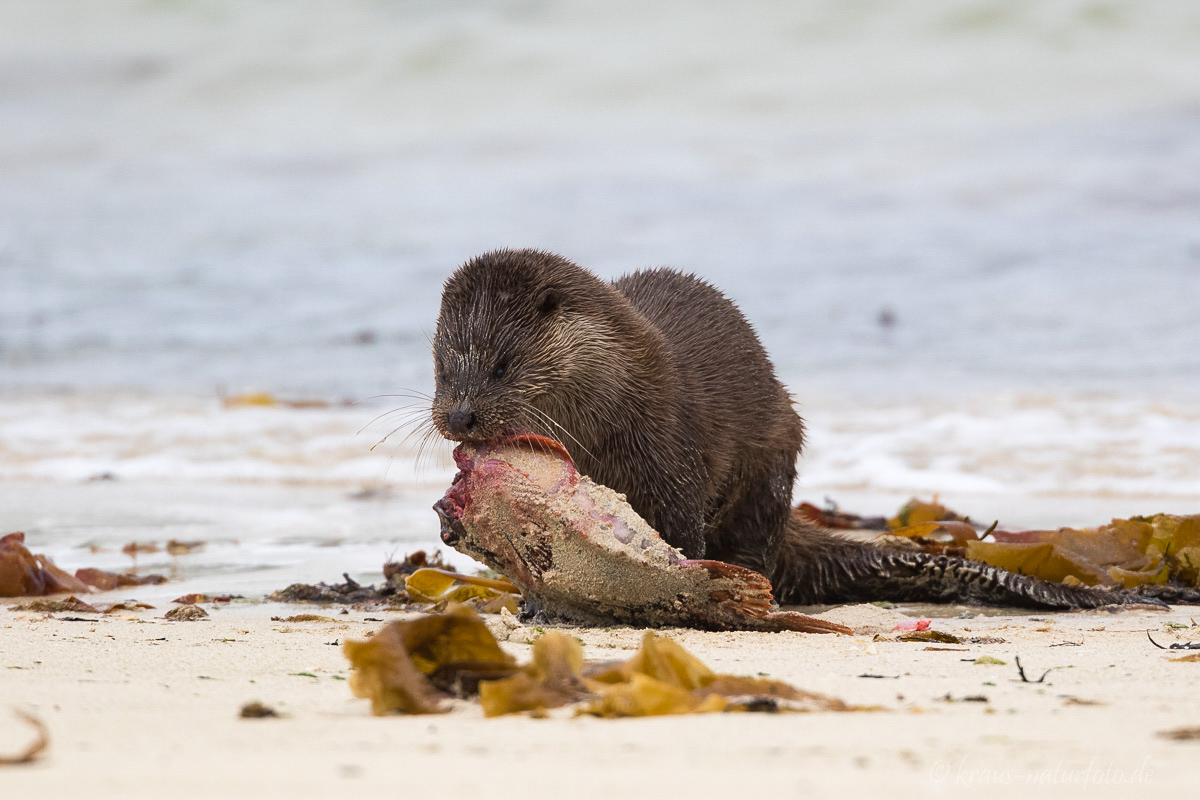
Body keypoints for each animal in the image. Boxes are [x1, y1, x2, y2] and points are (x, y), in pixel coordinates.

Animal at [429, 247, 1190, 609]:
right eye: (440, 365)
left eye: (500, 365)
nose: (459, 417)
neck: (613, 401)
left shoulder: (669, 445)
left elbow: (675, 536)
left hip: (774, 460)